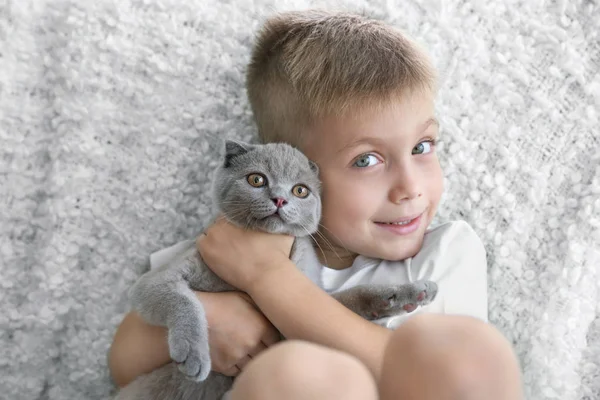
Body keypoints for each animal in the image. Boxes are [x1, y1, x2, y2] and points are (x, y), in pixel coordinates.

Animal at [115, 141, 438, 400]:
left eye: (300, 190)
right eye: (256, 179)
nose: (280, 199)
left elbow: (353, 297)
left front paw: (407, 293)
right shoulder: (157, 278)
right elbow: (183, 300)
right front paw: (193, 353)